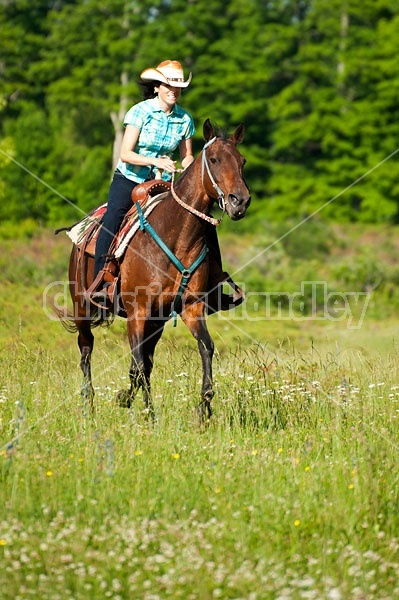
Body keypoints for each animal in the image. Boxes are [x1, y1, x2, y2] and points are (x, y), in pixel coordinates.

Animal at [61, 119, 252, 424]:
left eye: (242, 161)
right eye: (213, 159)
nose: (240, 201)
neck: (177, 234)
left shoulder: (189, 308)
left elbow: (203, 348)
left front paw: (204, 407)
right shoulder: (137, 312)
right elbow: (138, 366)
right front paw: (138, 408)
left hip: (157, 321)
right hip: (82, 306)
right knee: (86, 348)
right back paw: (88, 406)